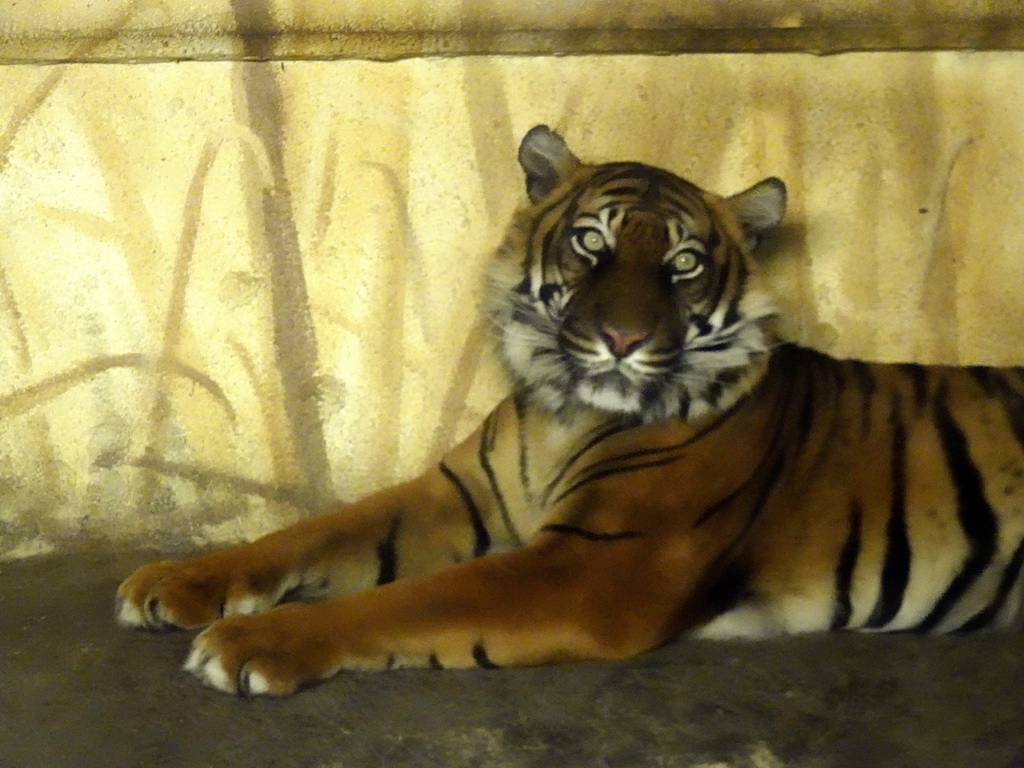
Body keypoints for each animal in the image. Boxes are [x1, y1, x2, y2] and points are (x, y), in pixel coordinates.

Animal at [116, 124, 1024, 696]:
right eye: (594, 242)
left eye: (684, 263)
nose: (622, 339)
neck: (565, 408)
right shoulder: (453, 495)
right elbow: (310, 534)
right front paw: (174, 581)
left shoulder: (595, 565)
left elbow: (404, 601)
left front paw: (252, 643)